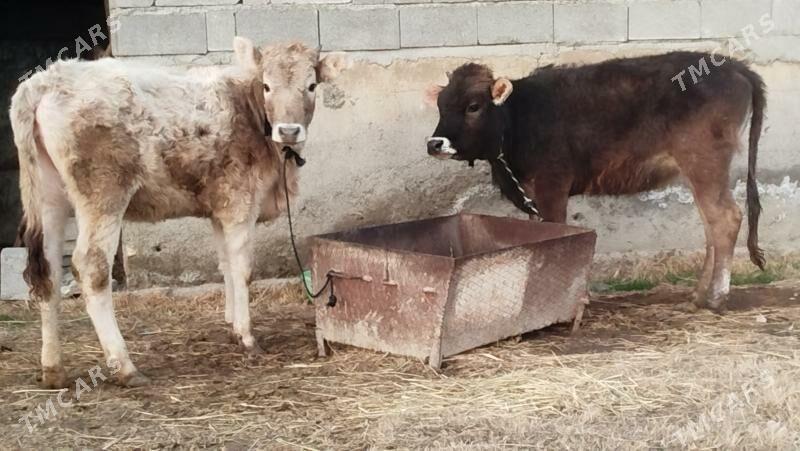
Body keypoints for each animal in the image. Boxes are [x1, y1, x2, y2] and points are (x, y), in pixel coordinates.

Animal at [10, 36, 349, 388]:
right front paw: (246, 337)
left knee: (48, 271)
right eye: (266, 85)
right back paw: (125, 366)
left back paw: (53, 368)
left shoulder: (219, 209)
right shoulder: (239, 204)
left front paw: (231, 327)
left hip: (49, 197)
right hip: (103, 194)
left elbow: (226, 266)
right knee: (91, 268)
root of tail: (46, 80)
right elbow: (243, 270)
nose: (289, 130)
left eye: (311, 85)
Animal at [425, 51, 766, 314]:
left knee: (725, 219)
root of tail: (734, 65)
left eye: (473, 106)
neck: (518, 119)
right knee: (711, 225)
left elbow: (556, 233)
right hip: (700, 172)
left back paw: (716, 297)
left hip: (704, 162)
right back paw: (699, 294)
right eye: (441, 106)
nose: (435, 143)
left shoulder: (552, 186)